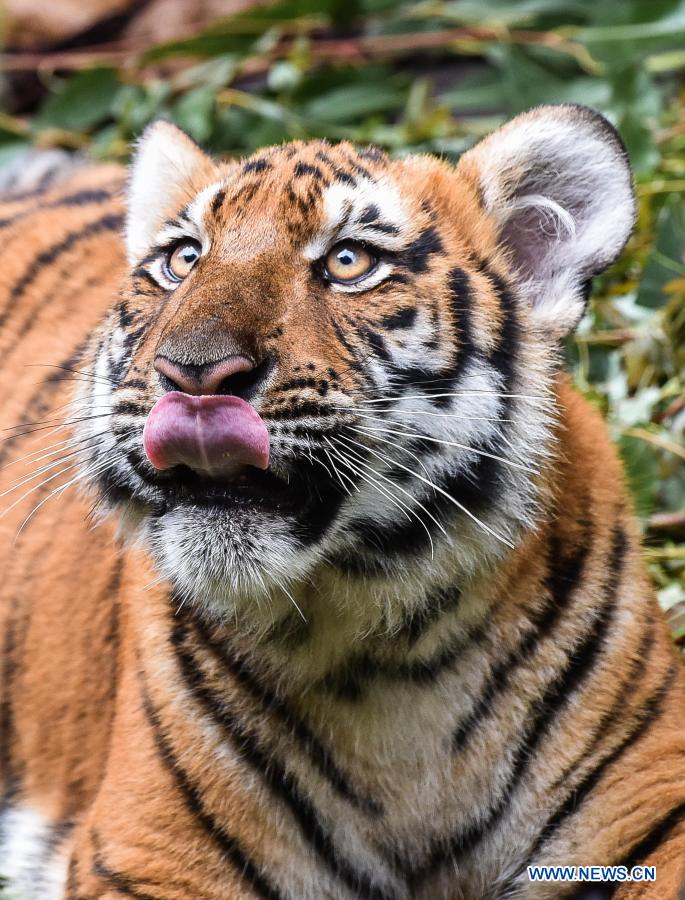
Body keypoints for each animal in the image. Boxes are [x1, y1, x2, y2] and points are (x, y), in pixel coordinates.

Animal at [0, 102, 683, 900]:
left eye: (349, 262)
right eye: (183, 260)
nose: (193, 373)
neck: (392, 656)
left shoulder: (654, 802)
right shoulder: (148, 854)